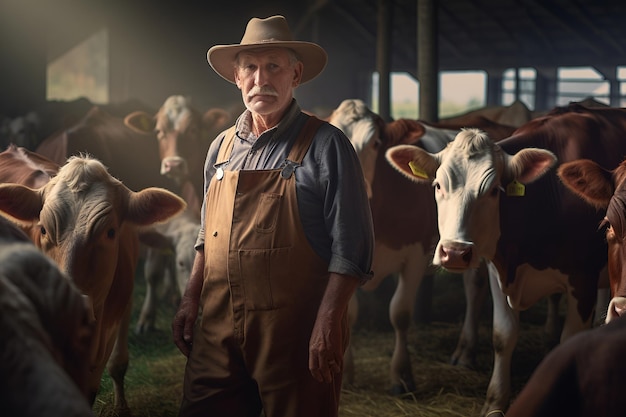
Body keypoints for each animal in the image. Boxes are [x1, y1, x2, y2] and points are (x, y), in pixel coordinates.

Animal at [324, 98, 516, 394]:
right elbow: (348, 313)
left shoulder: (414, 257)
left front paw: (401, 376)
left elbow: (400, 313)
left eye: (375, 143)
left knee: (474, 289)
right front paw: (347, 375)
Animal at [382, 104, 626, 412]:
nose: (455, 252)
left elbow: (569, 340)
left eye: (493, 190)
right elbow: (503, 335)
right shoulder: (497, 269)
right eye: (438, 185)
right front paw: (494, 402)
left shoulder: (582, 280)